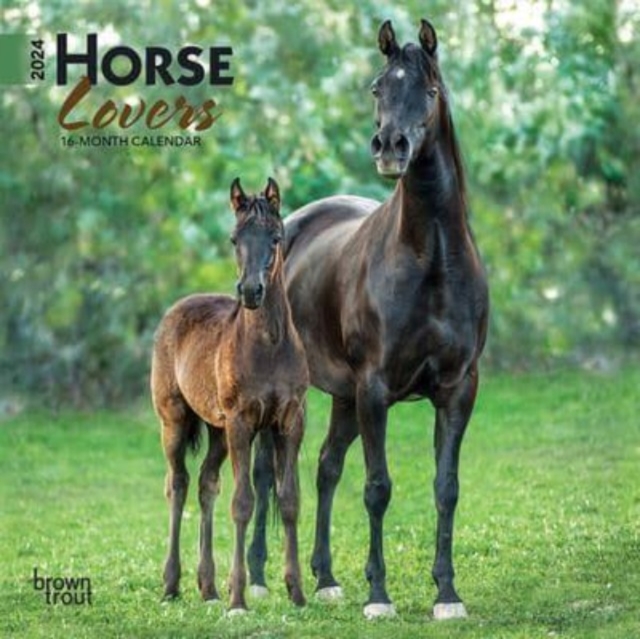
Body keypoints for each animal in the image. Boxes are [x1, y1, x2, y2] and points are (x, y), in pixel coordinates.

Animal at [151, 178, 309, 613]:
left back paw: (208, 587)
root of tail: (178, 307)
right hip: (174, 420)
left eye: (276, 238)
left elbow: (289, 500)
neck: (269, 345)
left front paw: (297, 592)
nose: (251, 291)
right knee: (178, 483)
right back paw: (172, 584)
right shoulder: (242, 423)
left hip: (217, 430)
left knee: (206, 484)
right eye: (234, 238)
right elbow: (243, 503)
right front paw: (238, 598)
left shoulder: (291, 421)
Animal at [249, 19, 489, 620]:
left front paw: (447, 594)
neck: (432, 260)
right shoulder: (376, 389)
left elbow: (446, 486)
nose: (390, 147)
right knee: (265, 474)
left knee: (326, 467)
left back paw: (327, 579)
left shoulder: (458, 389)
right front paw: (379, 595)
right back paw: (259, 578)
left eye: (429, 89)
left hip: (342, 397)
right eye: (379, 87)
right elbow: (378, 487)